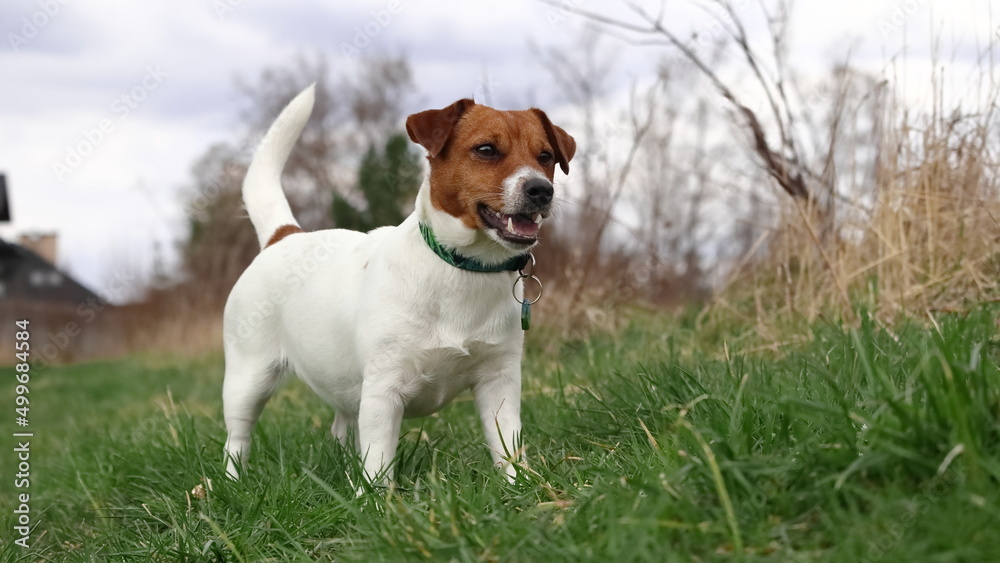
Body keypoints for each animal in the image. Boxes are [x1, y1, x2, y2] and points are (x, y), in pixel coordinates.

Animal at [222, 82, 576, 484]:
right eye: (486, 149)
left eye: (546, 156)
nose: (541, 190)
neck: (462, 268)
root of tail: (283, 236)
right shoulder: (383, 391)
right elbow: (378, 460)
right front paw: (377, 497)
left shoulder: (498, 381)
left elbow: (507, 444)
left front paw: (519, 485)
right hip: (249, 378)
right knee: (237, 437)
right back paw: (233, 483)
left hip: (344, 385)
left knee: (342, 425)